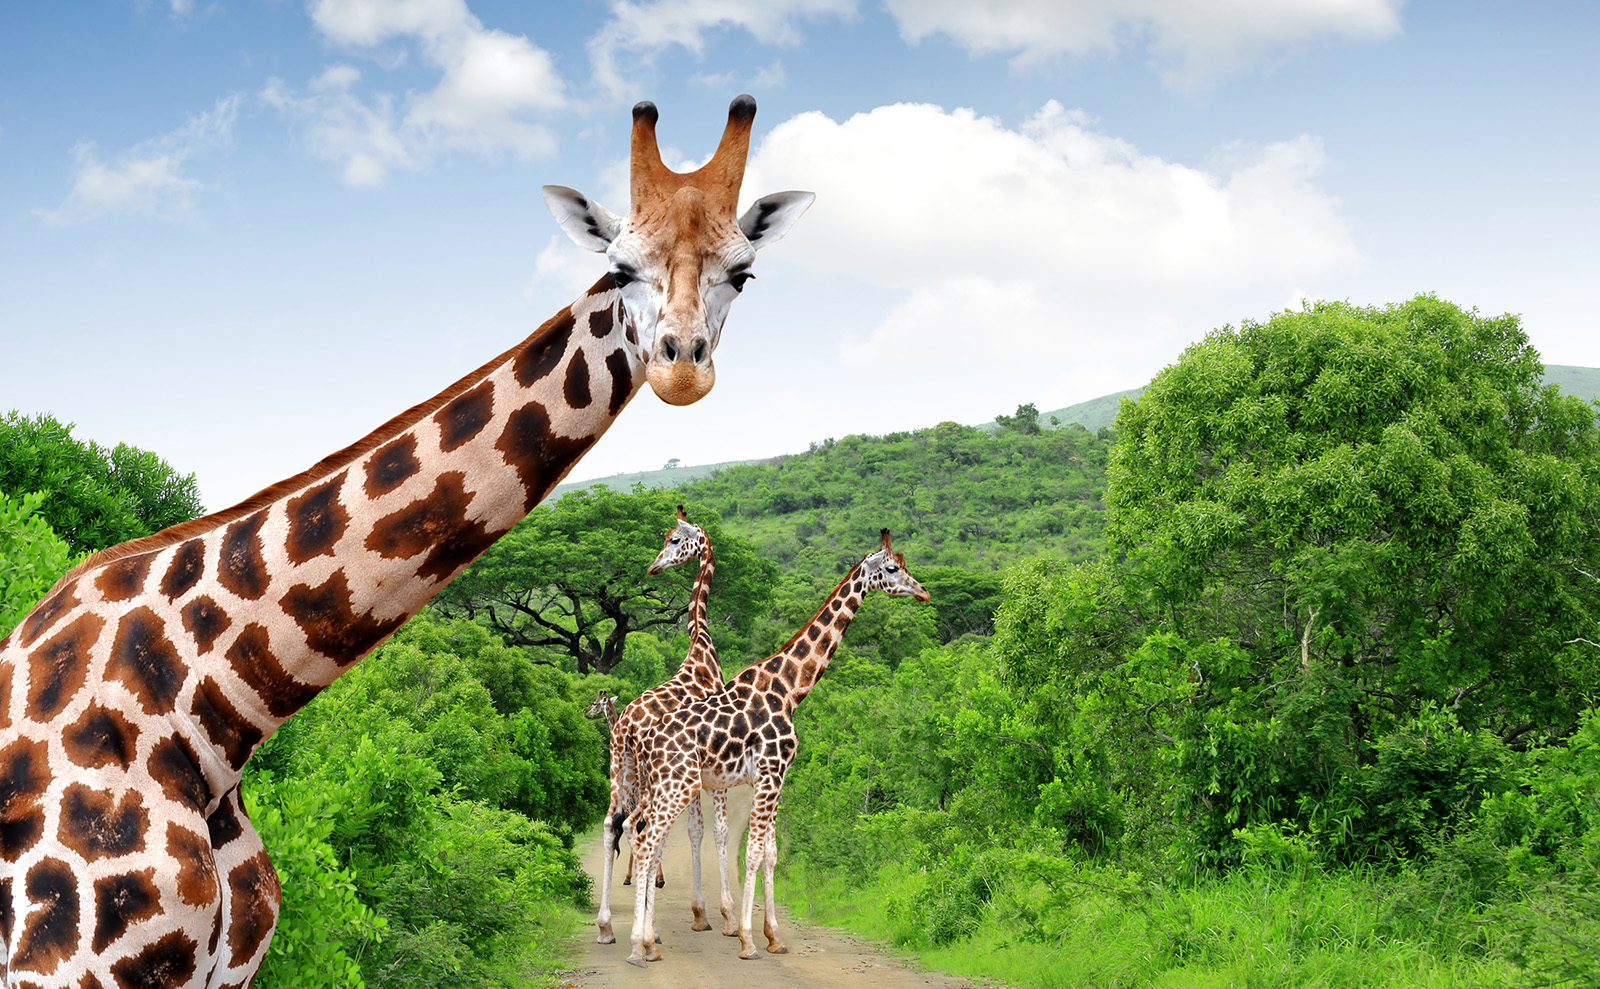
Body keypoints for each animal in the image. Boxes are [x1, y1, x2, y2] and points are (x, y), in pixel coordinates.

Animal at [592, 505, 732, 940]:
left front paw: (701, 913)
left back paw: (606, 925)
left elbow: (693, 830)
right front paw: (720, 916)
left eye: (674, 539)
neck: (701, 652)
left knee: (613, 824)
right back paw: (645, 929)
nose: (654, 567)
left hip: (618, 769)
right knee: (640, 829)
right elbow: (710, 830)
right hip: (648, 778)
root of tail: (624, 728)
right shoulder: (712, 770)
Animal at [620, 528, 928, 966]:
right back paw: (638, 946)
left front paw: (773, 937)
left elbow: (771, 853)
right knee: (647, 840)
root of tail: (641, 738)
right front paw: (747, 939)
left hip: (659, 786)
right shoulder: (768, 774)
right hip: (676, 787)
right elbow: (750, 851)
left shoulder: (776, 778)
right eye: (890, 568)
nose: (923, 592)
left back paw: (643, 940)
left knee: (634, 830)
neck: (790, 689)